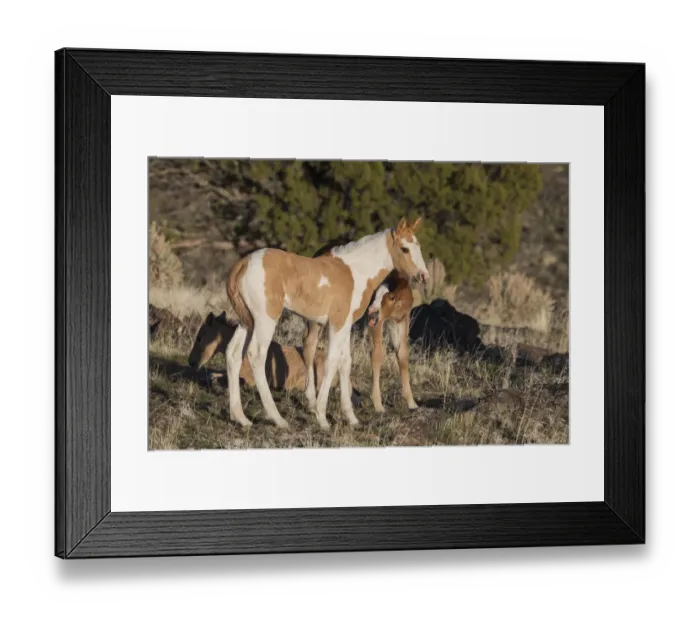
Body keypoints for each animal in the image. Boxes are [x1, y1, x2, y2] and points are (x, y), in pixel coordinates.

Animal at [225, 217, 429, 429]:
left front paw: (351, 418)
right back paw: (278, 419)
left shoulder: (346, 325)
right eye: (405, 249)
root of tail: (243, 263)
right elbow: (331, 362)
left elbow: (345, 363)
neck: (355, 272)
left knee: (233, 353)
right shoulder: (337, 324)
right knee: (256, 355)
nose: (424, 275)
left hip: (247, 321)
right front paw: (322, 417)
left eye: (418, 246)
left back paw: (240, 417)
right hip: (266, 319)